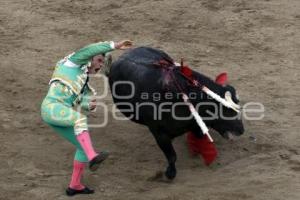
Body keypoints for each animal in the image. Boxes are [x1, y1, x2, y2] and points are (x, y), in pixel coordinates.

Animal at [108, 47, 244, 180]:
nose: (241, 130)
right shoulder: (159, 133)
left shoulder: (194, 124)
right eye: (224, 109)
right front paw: (170, 173)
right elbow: (172, 155)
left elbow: (198, 137)